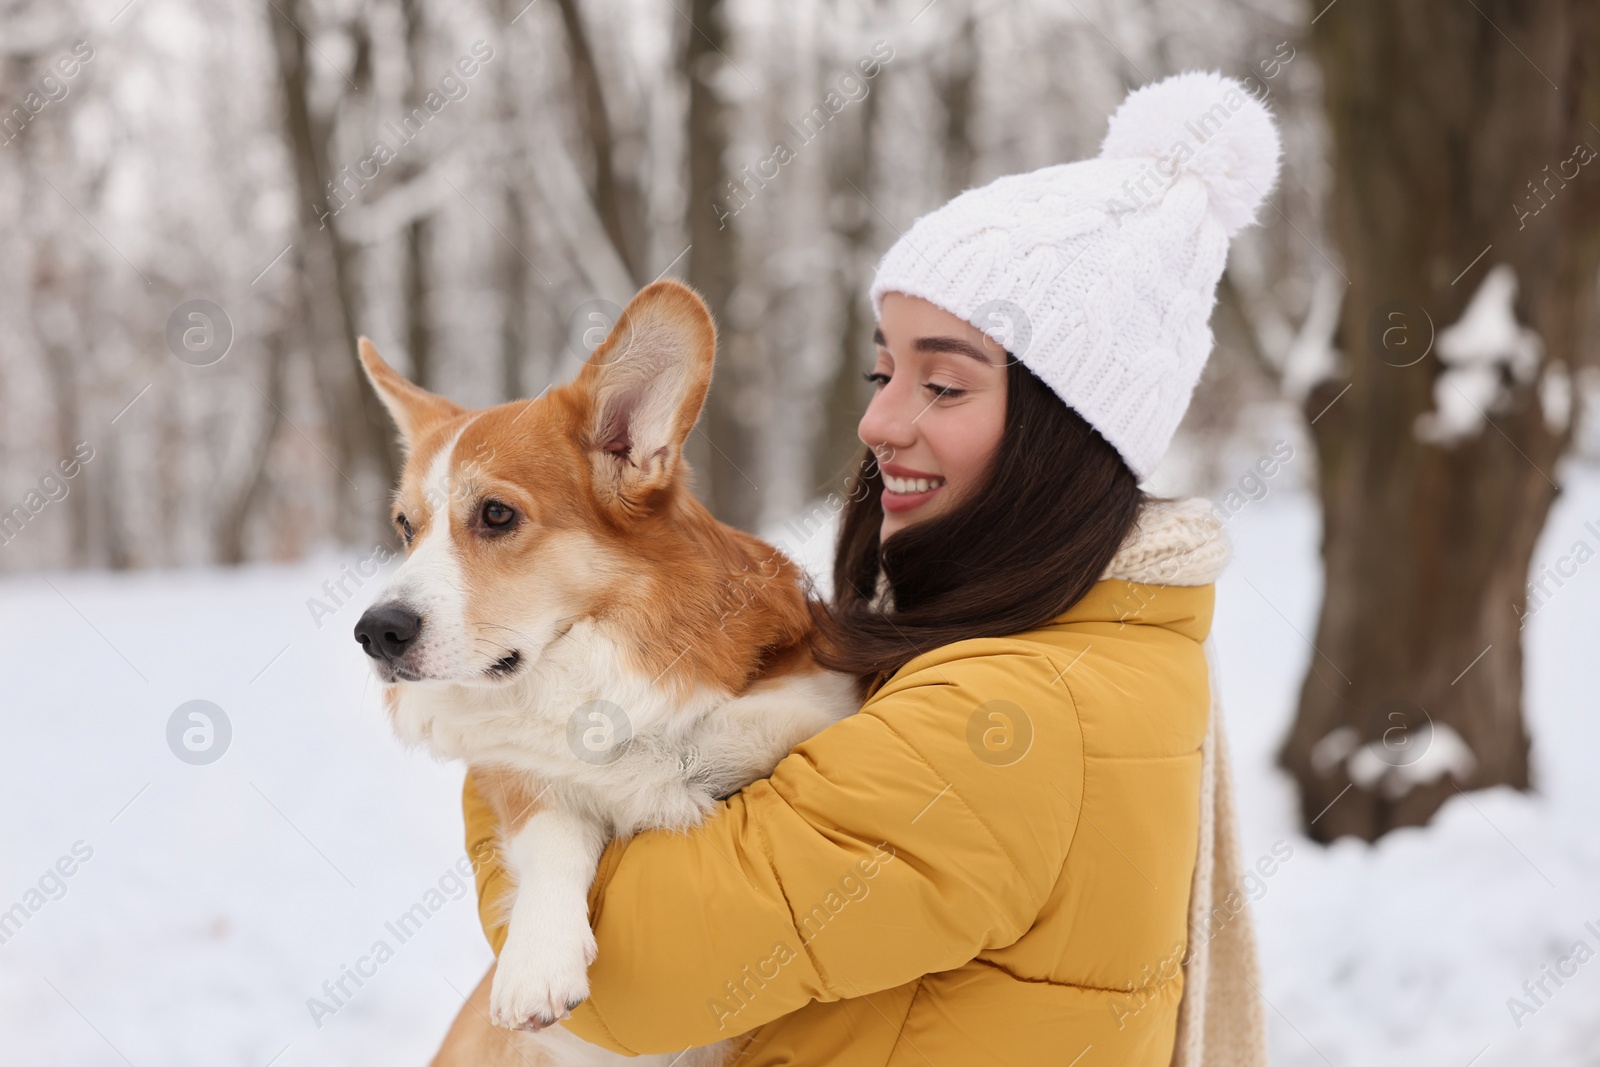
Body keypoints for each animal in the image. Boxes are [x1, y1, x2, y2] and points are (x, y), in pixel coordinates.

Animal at [352, 279, 864, 1062]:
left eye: (496, 514)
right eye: (406, 528)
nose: (375, 633)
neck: (598, 669)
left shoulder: (800, 703)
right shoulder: (518, 776)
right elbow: (553, 826)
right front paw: (536, 961)